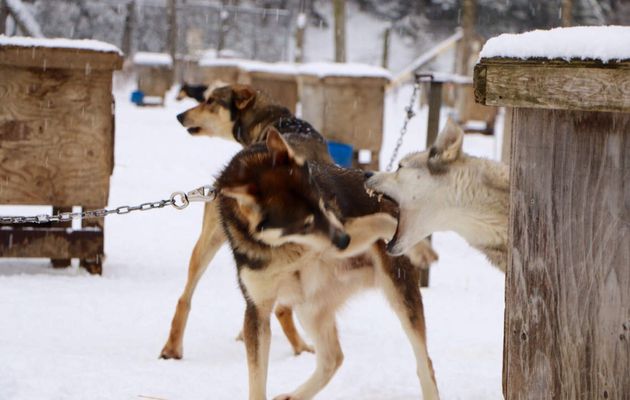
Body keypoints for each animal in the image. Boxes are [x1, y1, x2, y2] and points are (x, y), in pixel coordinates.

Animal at [215, 129, 442, 400]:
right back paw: (295, 396)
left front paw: (420, 248)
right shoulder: (257, 309)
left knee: (424, 363)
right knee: (333, 358)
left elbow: (382, 220)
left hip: (399, 295)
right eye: (304, 224)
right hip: (309, 306)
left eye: (323, 204)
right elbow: (257, 380)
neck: (286, 249)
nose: (344, 241)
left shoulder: (342, 226)